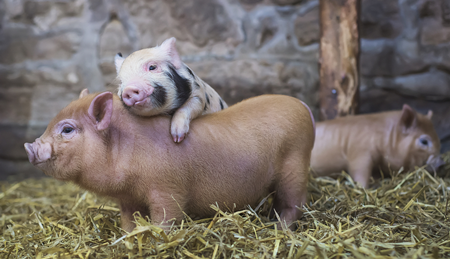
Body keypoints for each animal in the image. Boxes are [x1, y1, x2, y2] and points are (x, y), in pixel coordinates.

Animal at [23, 92, 312, 234]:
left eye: (67, 129)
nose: (30, 146)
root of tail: (303, 106)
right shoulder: (127, 198)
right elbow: (128, 220)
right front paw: (127, 237)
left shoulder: (167, 188)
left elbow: (166, 217)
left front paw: (158, 237)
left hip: (295, 166)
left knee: (293, 204)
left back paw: (280, 230)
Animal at [312, 104, 444, 188]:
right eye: (424, 141)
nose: (442, 163)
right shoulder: (360, 153)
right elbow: (360, 173)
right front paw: (365, 188)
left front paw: (376, 183)